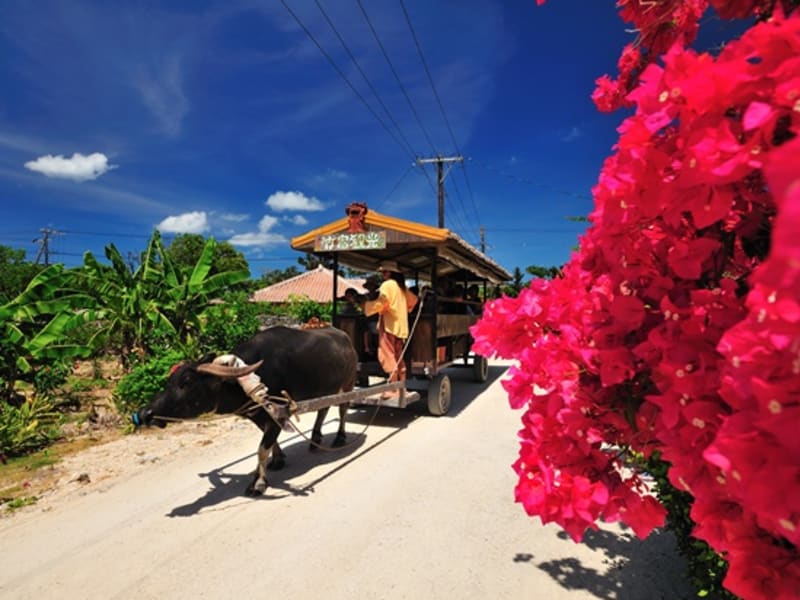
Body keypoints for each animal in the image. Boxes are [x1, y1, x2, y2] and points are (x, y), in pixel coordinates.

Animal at [134, 326, 356, 494]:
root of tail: (345, 338)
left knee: (343, 410)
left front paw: (258, 482)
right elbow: (269, 443)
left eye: (186, 381)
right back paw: (316, 438)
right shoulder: (257, 415)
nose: (145, 414)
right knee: (323, 410)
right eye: (169, 381)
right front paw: (277, 459)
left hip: (347, 385)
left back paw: (339, 437)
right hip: (326, 390)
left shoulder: (277, 414)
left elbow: (262, 449)